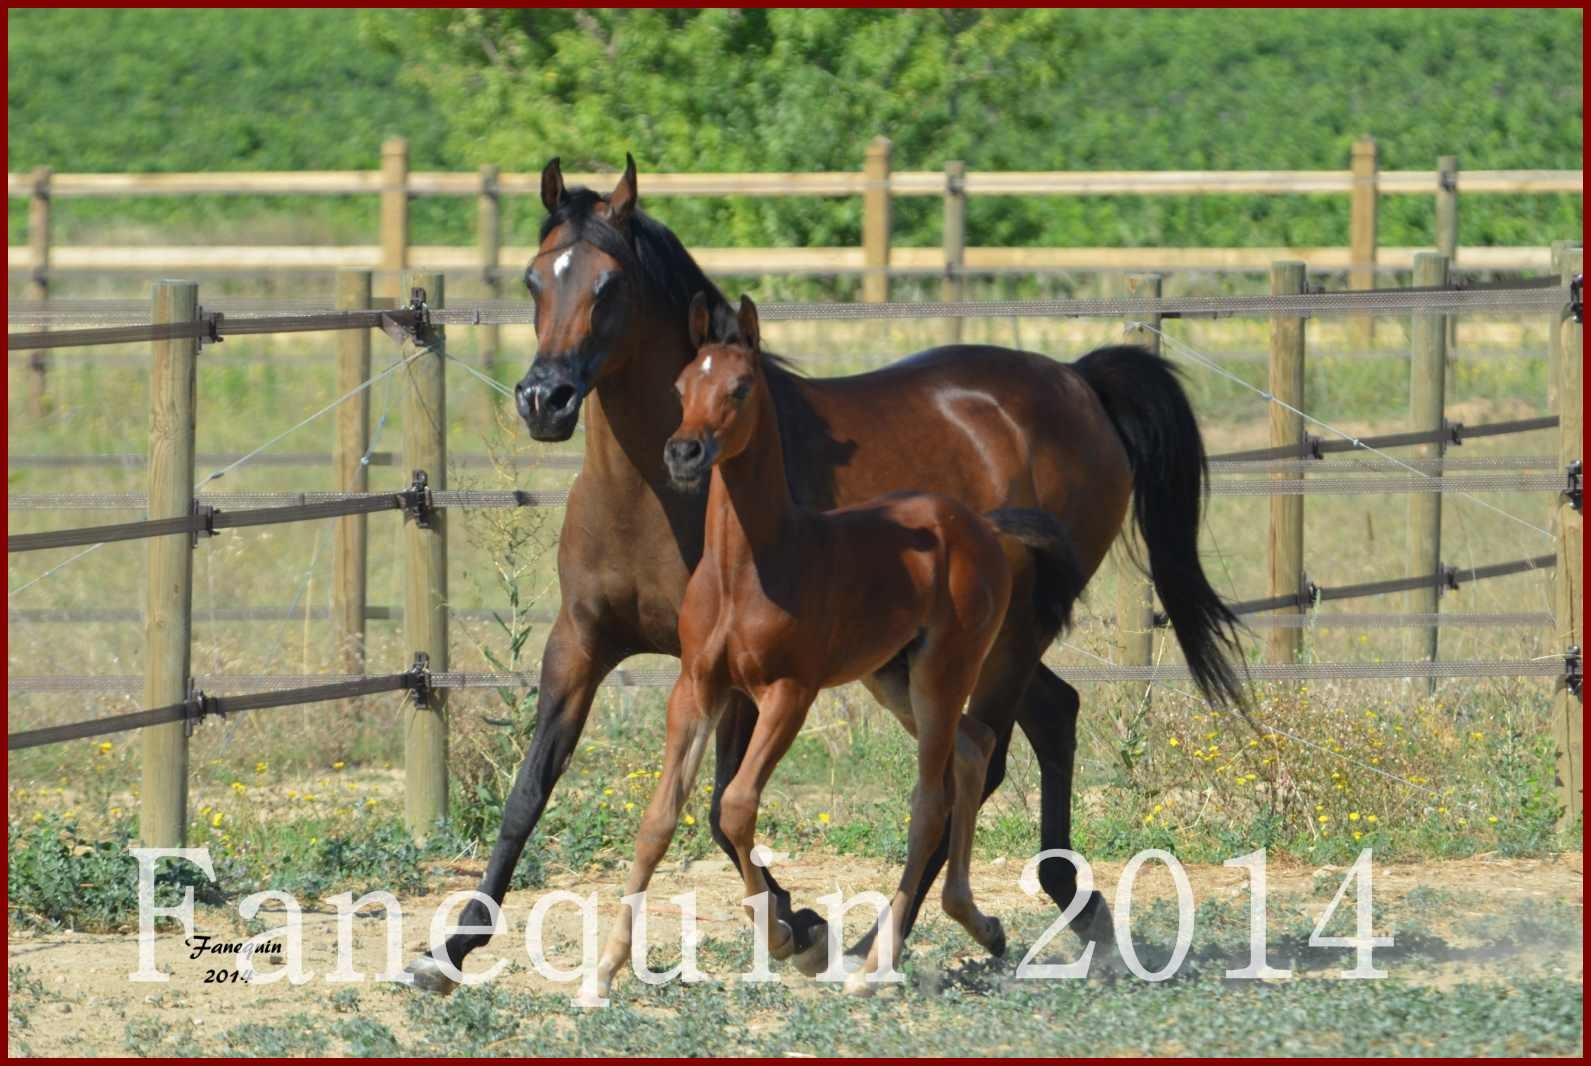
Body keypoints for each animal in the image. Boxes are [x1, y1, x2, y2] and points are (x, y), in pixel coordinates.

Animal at [595, 294, 1081, 1005]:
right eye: (682, 387)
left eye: (740, 386)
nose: (684, 452)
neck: (749, 566)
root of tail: (982, 526)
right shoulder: (697, 689)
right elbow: (659, 819)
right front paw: (603, 968)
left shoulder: (788, 693)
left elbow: (736, 806)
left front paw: (782, 936)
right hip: (891, 675)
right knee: (972, 746)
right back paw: (978, 922)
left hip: (942, 670)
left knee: (929, 799)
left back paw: (877, 965)